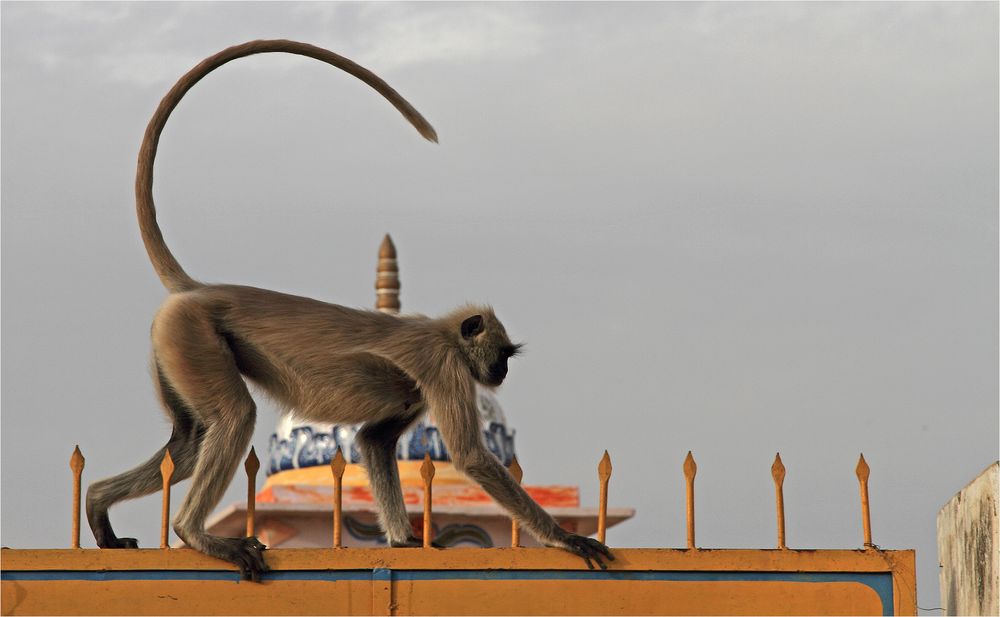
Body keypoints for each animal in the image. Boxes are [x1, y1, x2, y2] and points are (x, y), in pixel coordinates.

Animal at [86, 41, 612, 580]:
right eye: (502, 354)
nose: (502, 371)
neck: (444, 333)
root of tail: (203, 290)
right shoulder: (443, 366)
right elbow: (470, 457)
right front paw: (567, 538)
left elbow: (376, 443)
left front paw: (403, 541)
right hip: (193, 336)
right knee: (233, 417)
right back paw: (196, 534)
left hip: (175, 347)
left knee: (189, 441)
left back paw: (98, 504)